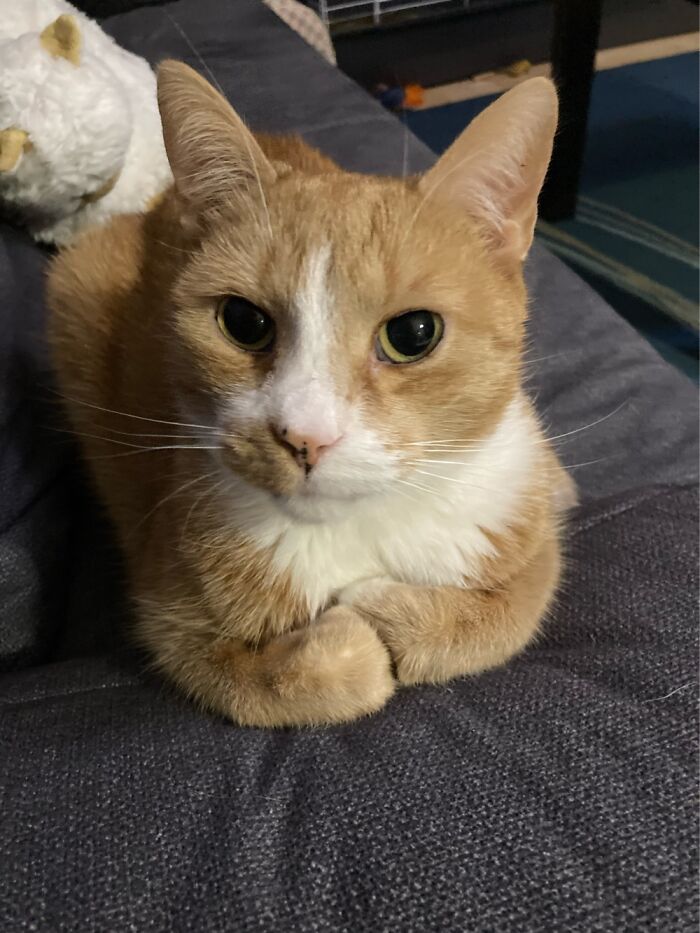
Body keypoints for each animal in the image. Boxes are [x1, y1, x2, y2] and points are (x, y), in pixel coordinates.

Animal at [47, 60, 576, 728]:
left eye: (414, 333)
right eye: (243, 322)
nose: (305, 437)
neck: (356, 530)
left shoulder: (523, 531)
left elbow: (512, 611)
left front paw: (392, 611)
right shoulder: (169, 612)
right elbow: (260, 679)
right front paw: (351, 644)